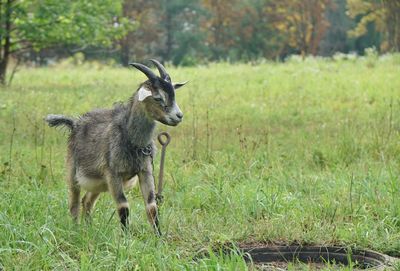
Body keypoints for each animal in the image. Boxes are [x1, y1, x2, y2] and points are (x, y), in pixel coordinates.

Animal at [45, 60, 188, 235]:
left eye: (174, 94)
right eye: (158, 97)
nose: (178, 116)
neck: (131, 140)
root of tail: (75, 123)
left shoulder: (145, 170)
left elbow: (151, 206)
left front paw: (158, 236)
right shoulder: (113, 174)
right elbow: (123, 206)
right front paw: (126, 237)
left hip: (99, 182)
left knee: (87, 201)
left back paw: (89, 229)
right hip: (73, 171)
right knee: (74, 201)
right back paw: (76, 229)